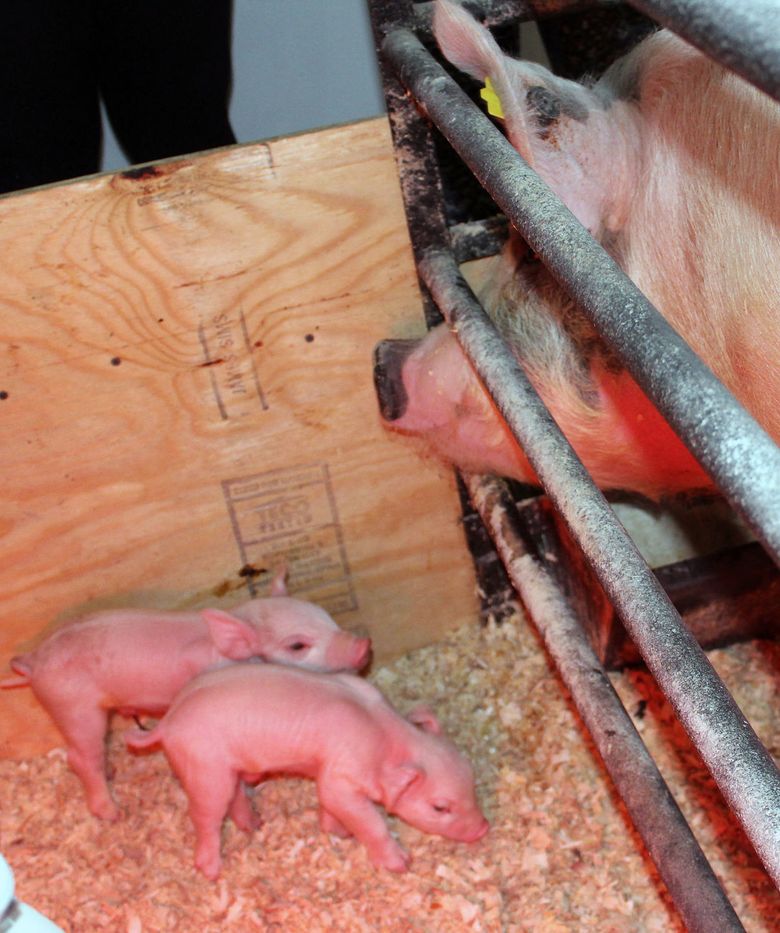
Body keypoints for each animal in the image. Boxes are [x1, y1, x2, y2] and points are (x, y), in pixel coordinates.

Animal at [0, 568, 372, 824]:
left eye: (326, 617)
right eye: (297, 645)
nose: (363, 645)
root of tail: (33, 662)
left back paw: (113, 774)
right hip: (72, 707)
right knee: (79, 756)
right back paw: (112, 813)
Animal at [125, 664, 488, 872]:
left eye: (472, 780)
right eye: (439, 807)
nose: (483, 829)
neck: (383, 740)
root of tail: (168, 721)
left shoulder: (328, 772)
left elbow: (329, 807)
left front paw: (338, 832)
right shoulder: (341, 776)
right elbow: (366, 820)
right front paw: (401, 864)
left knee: (235, 798)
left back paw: (254, 825)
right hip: (204, 768)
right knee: (205, 815)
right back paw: (211, 870)